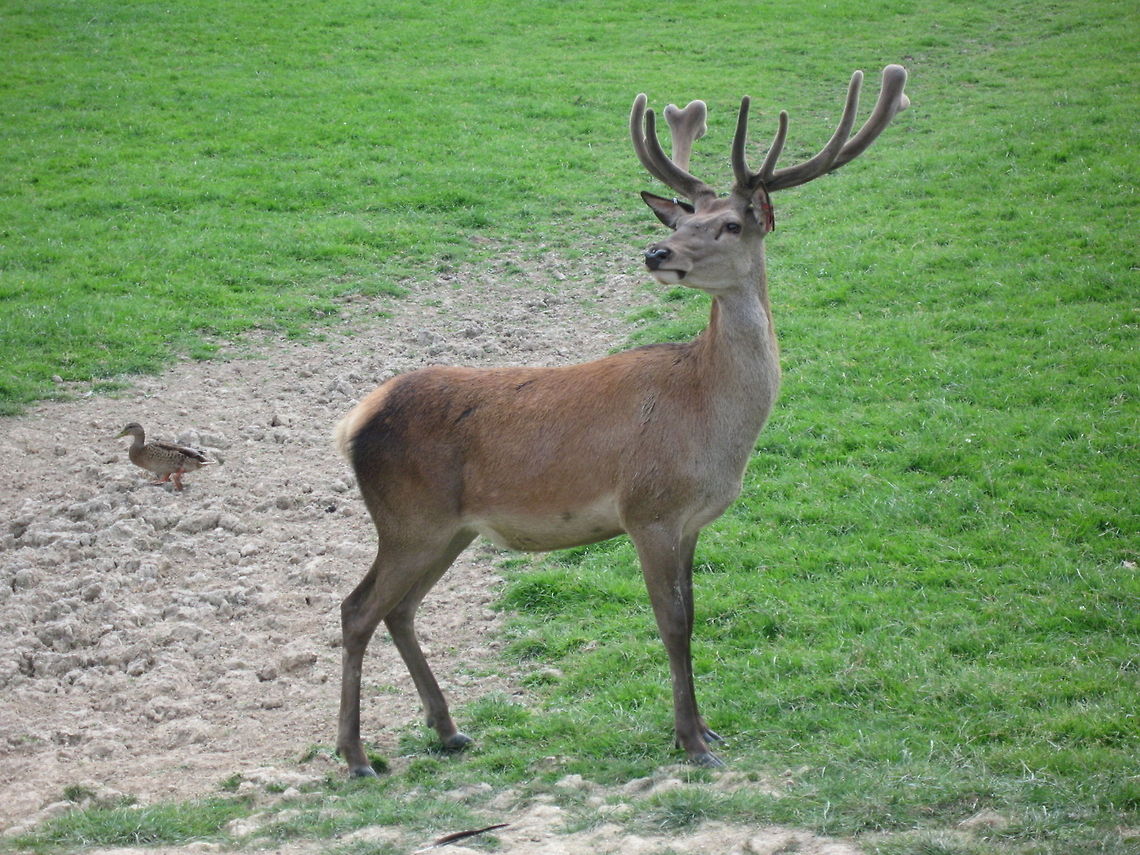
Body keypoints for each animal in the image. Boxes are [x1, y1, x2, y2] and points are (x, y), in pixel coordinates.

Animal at [333, 65, 909, 774]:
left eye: (731, 225)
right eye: (690, 217)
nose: (657, 251)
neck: (711, 421)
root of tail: (355, 421)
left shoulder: (691, 520)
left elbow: (694, 615)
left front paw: (707, 729)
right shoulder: (648, 508)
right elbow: (672, 623)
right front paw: (692, 742)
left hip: (449, 530)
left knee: (401, 609)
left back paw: (448, 730)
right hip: (410, 519)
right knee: (357, 609)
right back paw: (356, 754)